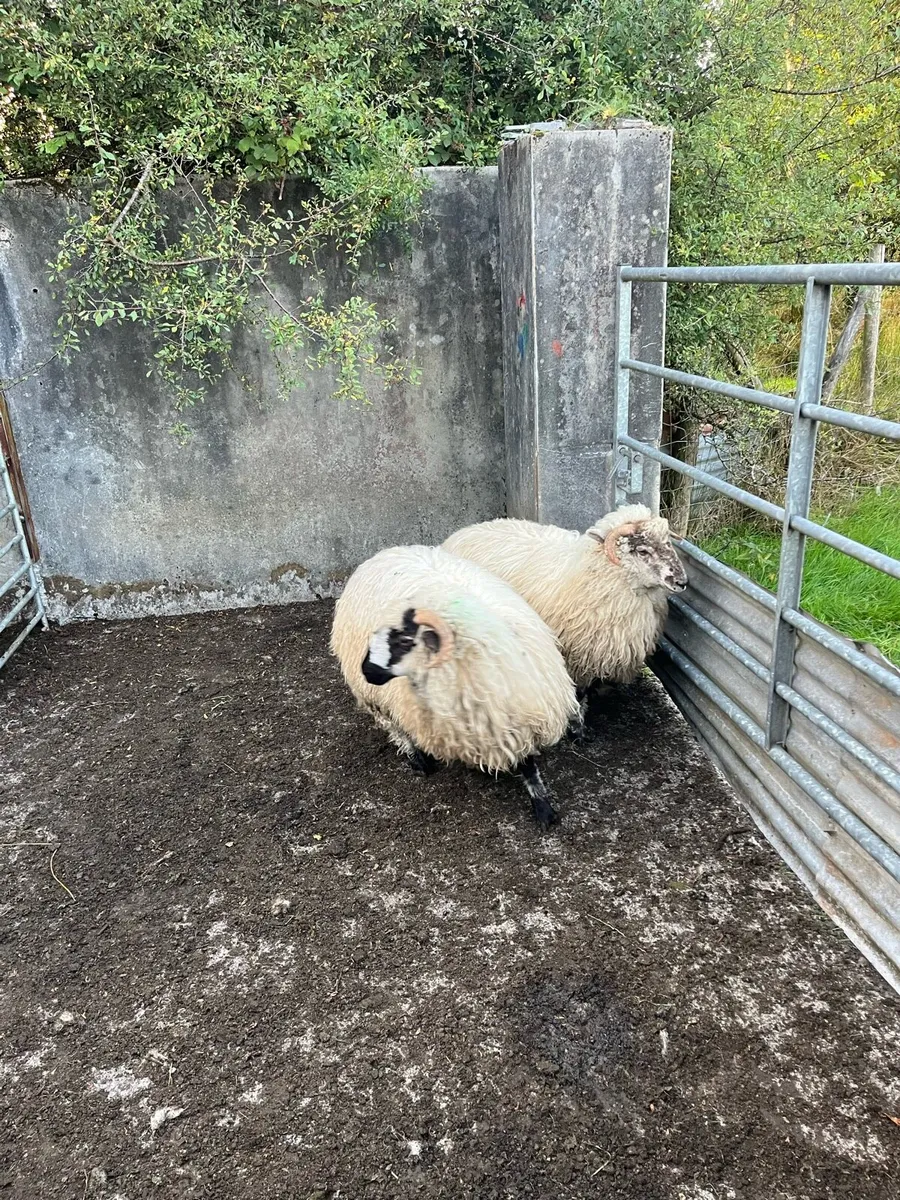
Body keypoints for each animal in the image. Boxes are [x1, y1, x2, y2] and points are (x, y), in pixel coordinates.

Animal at [330, 544, 579, 829]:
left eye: (405, 641)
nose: (366, 670)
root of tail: (390, 551)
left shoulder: (517, 722)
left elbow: (529, 767)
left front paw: (544, 809)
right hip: (376, 697)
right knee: (394, 726)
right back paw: (418, 759)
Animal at [443, 504, 687, 733]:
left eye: (668, 543)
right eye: (643, 551)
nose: (682, 581)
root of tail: (466, 529)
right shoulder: (576, 654)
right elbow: (579, 692)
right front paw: (577, 725)